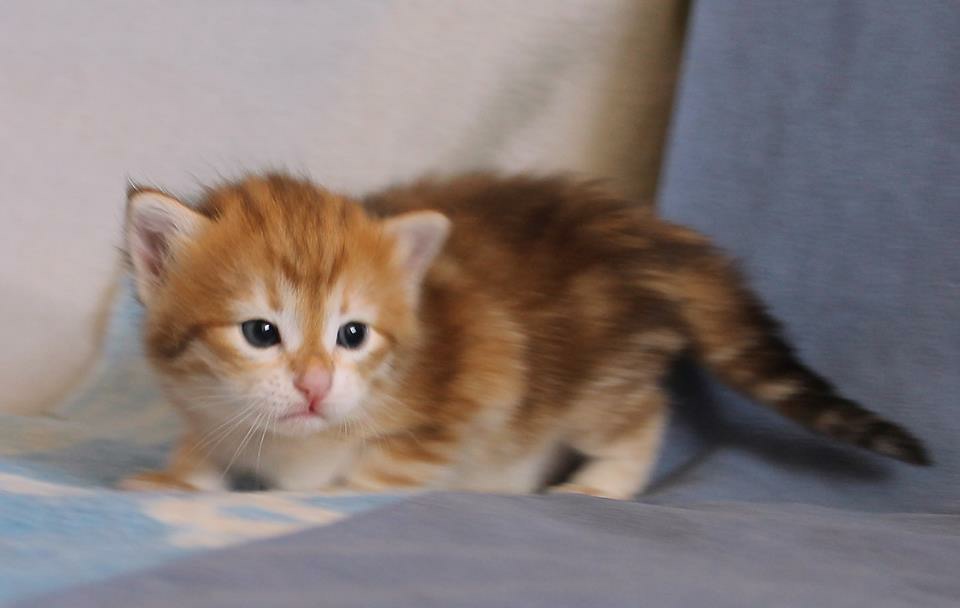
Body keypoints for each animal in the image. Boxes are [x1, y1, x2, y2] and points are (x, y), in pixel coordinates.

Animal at [116, 171, 928, 498]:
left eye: (352, 334)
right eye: (261, 332)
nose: (315, 387)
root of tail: (640, 227)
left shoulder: (479, 369)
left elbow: (385, 469)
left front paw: (335, 489)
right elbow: (207, 443)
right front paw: (177, 477)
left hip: (597, 384)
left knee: (644, 412)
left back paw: (601, 484)